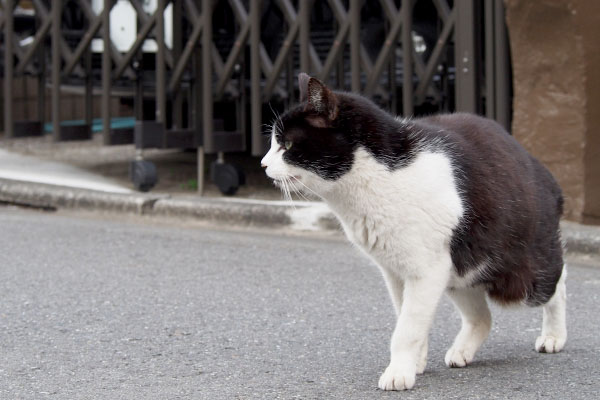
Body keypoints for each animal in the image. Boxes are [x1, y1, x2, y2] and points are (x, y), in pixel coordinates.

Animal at [258, 73, 568, 390]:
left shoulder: (426, 271)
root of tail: (539, 167)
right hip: (461, 272)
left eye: (287, 145)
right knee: (482, 316)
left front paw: (398, 372)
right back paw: (463, 351)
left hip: (521, 276)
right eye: (273, 143)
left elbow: (406, 329)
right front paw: (415, 363)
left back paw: (553, 336)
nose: (263, 164)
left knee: (558, 281)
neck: (377, 180)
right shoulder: (397, 271)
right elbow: (407, 318)